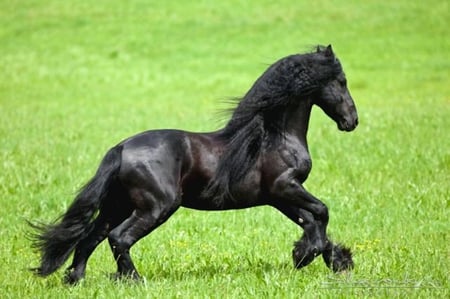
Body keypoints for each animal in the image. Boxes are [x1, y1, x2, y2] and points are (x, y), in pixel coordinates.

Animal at [29, 44, 358, 284]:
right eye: (341, 82)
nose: (352, 121)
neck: (274, 137)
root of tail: (121, 149)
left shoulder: (277, 197)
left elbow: (310, 220)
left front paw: (331, 259)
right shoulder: (285, 186)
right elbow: (321, 212)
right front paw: (307, 256)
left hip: (117, 205)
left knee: (90, 238)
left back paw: (75, 279)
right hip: (157, 207)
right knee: (119, 238)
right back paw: (133, 280)